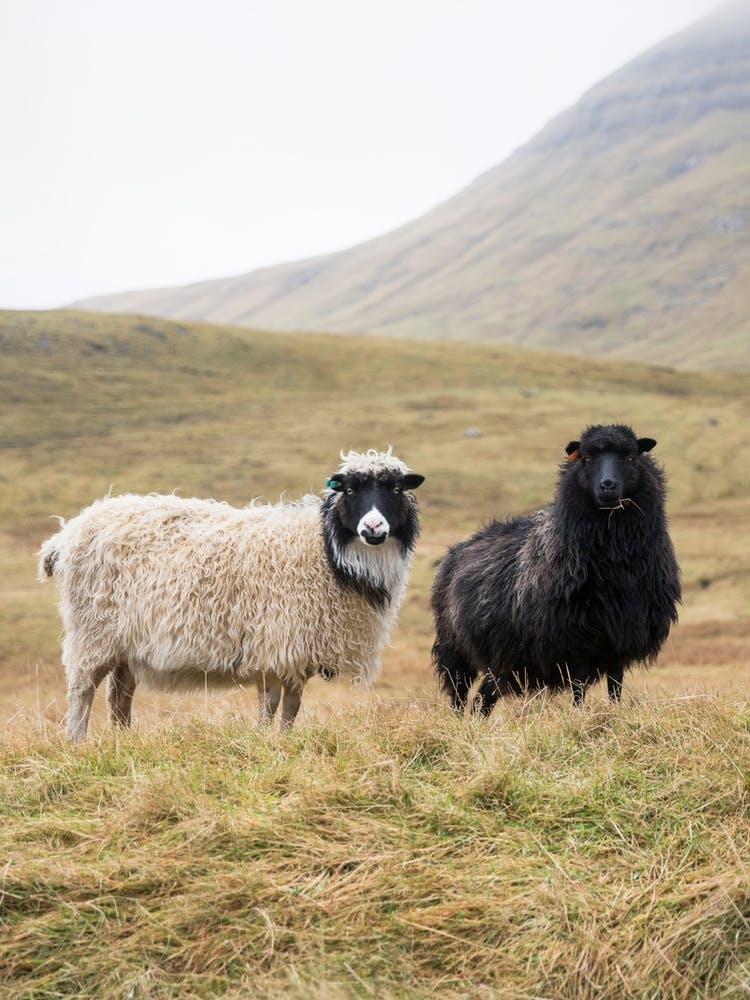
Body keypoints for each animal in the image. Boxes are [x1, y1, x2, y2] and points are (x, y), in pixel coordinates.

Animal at [39, 449, 424, 741]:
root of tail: (65, 535)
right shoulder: (275, 642)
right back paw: (76, 743)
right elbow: (271, 702)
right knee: (82, 691)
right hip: (92, 631)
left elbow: (292, 705)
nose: (372, 527)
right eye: (349, 491)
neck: (326, 550)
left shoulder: (297, 648)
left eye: (395, 489)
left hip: (125, 642)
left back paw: (124, 740)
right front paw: (265, 739)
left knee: (119, 695)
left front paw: (284, 739)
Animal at [431, 424, 680, 714]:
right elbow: (579, 688)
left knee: (482, 699)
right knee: (458, 693)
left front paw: (615, 712)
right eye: (586, 457)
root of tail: (457, 550)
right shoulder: (574, 640)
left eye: (630, 457)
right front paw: (579, 715)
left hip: (503, 664)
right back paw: (457, 720)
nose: (608, 485)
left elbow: (615, 686)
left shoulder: (620, 637)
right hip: (455, 649)